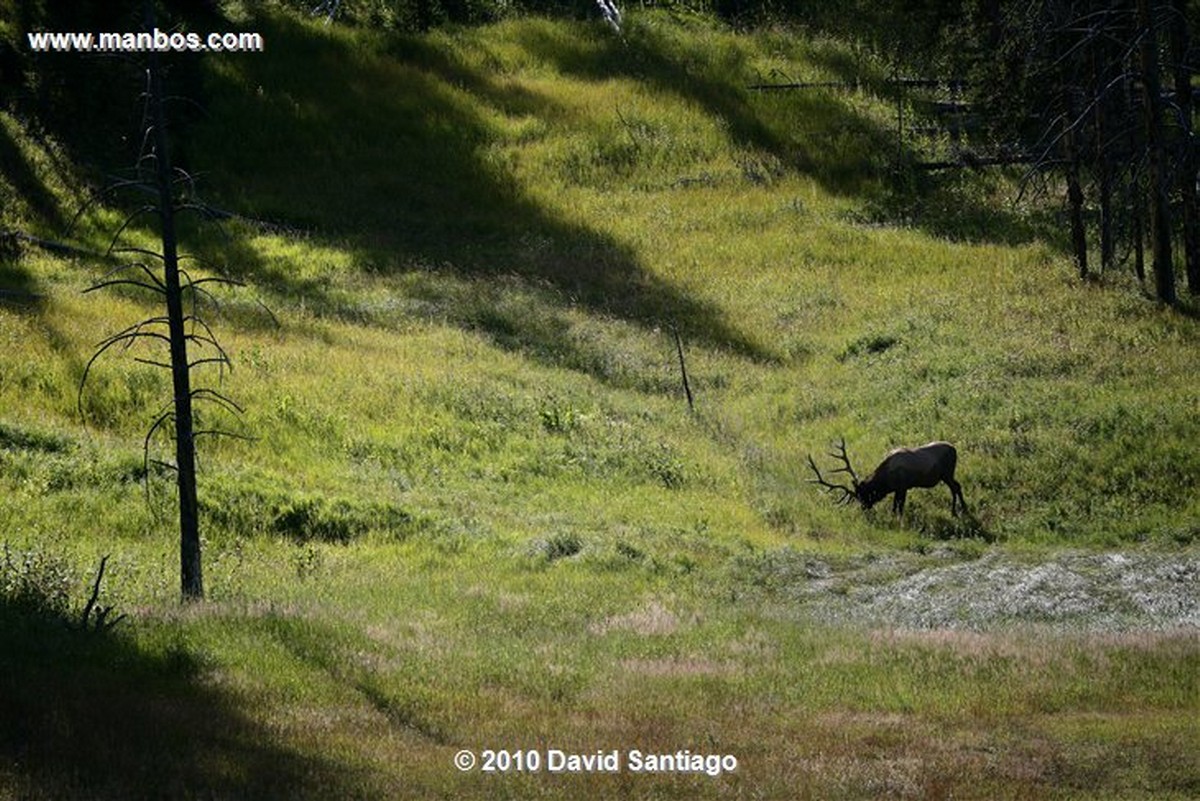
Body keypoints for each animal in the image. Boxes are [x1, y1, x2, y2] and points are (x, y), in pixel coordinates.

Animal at [806, 441, 964, 515]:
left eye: (863, 495)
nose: (864, 509)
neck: (886, 481)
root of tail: (954, 448)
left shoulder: (902, 487)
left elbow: (898, 507)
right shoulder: (898, 489)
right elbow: (895, 506)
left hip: (947, 473)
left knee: (955, 487)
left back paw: (956, 512)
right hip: (947, 475)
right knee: (958, 485)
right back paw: (963, 509)